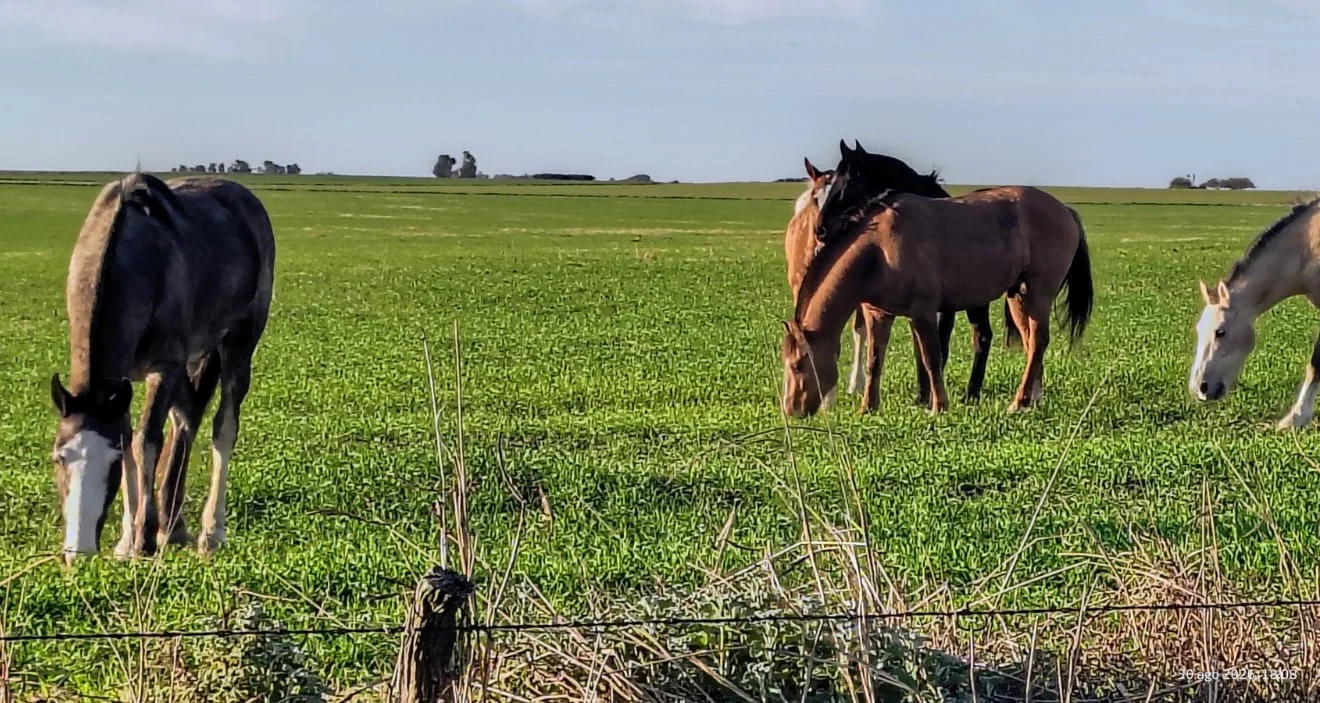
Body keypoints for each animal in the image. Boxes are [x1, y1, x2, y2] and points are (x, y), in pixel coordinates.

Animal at [48, 171, 275, 563]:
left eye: (109, 464)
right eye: (60, 458)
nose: (79, 552)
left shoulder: (164, 367)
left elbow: (144, 442)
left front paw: (142, 538)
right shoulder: (120, 382)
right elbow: (131, 437)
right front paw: (129, 539)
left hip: (238, 345)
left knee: (222, 427)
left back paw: (210, 533)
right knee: (186, 418)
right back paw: (174, 524)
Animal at [782, 184, 1093, 418]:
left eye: (797, 365)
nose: (790, 410)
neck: (880, 248)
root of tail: (1065, 210)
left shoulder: (923, 312)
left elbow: (932, 358)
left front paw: (938, 407)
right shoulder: (877, 314)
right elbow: (874, 361)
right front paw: (867, 408)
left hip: (1039, 294)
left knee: (1038, 341)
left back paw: (1018, 403)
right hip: (1019, 297)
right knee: (1032, 345)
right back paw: (1031, 400)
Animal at [821, 140, 1011, 408]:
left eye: (853, 179)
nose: (820, 228)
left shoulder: (940, 309)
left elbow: (938, 348)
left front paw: (932, 398)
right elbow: (919, 349)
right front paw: (921, 397)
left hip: (977, 300)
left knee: (982, 337)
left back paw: (972, 393)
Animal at [1189, 196, 1320, 429]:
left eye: (1220, 332)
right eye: (1198, 330)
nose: (1200, 389)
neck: (1311, 248)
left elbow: (1315, 364)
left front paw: (1295, 419)